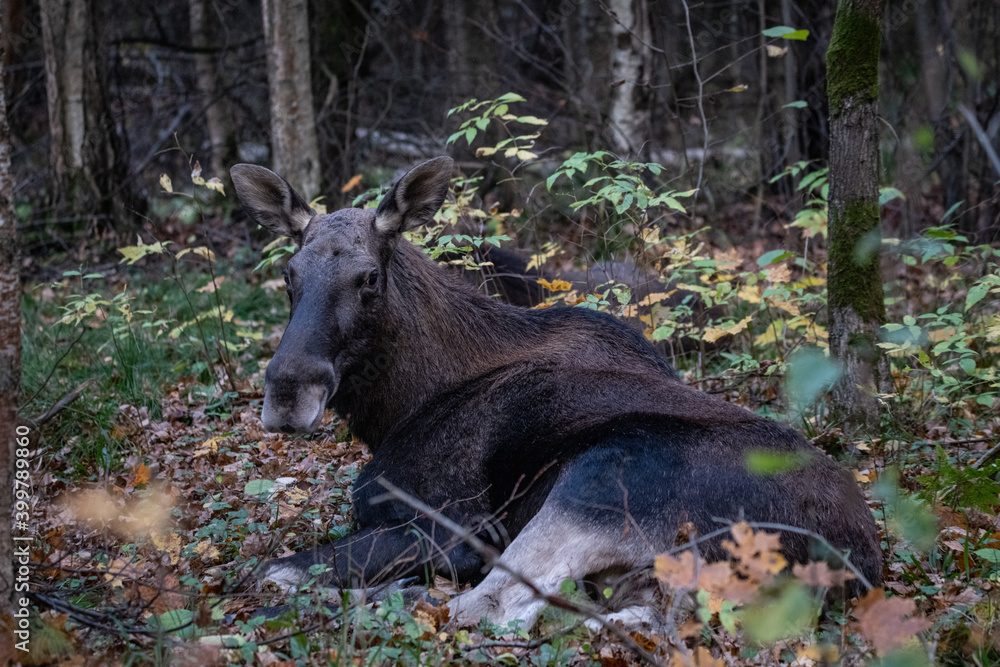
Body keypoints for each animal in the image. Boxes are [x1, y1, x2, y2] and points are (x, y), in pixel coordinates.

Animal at [230, 159, 880, 628]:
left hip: (597, 483)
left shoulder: (454, 523)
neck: (399, 407)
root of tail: (856, 563)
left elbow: (276, 569)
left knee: (482, 609)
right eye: (288, 275)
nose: (288, 392)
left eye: (368, 277)